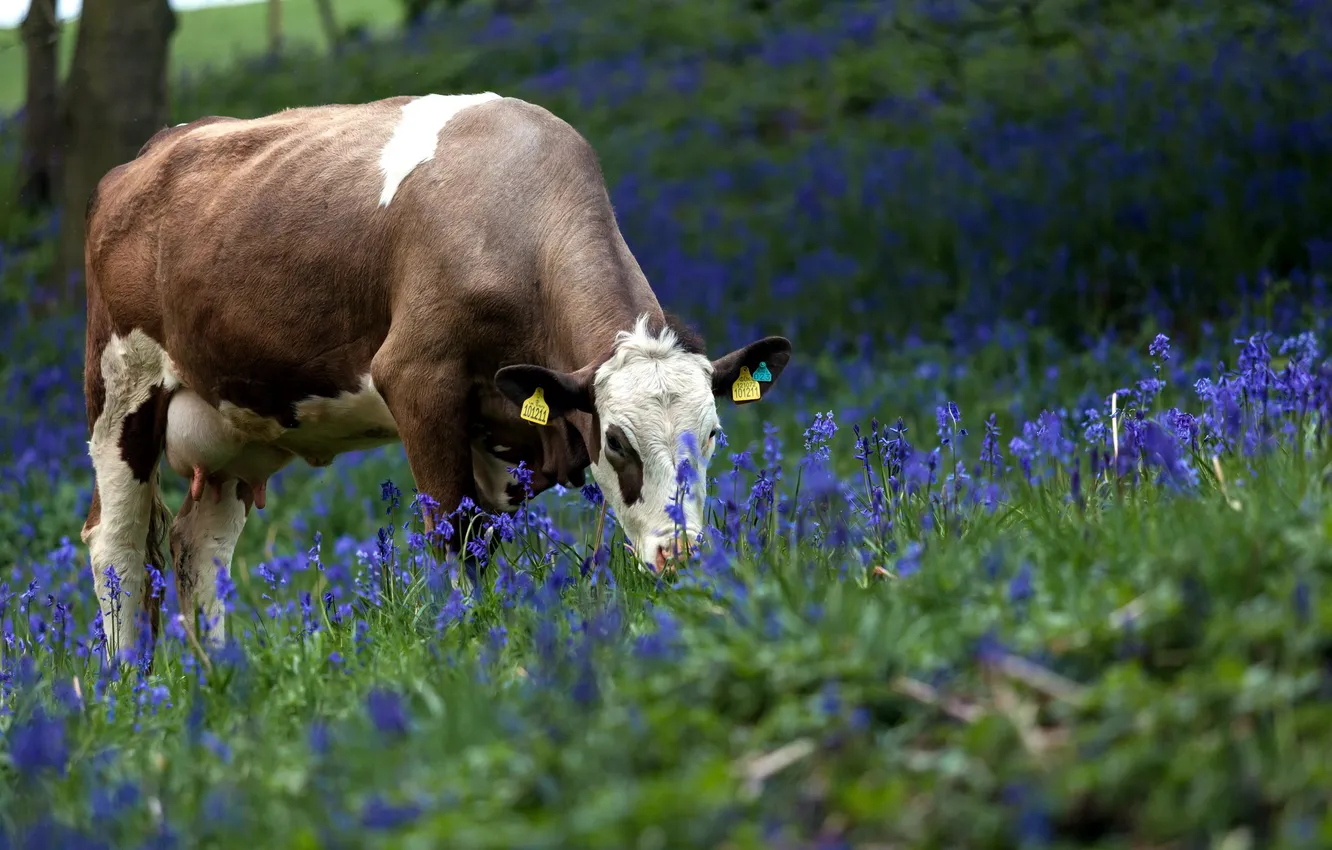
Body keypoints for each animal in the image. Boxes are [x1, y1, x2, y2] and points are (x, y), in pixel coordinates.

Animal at [81, 92, 792, 662]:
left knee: (199, 548)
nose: (683, 554)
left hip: (236, 426)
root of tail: (148, 155)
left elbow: (482, 539)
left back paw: (219, 682)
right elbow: (452, 533)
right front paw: (466, 634)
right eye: (617, 441)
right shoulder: (417, 382)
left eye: (713, 434)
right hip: (120, 388)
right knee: (115, 543)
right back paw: (127, 690)